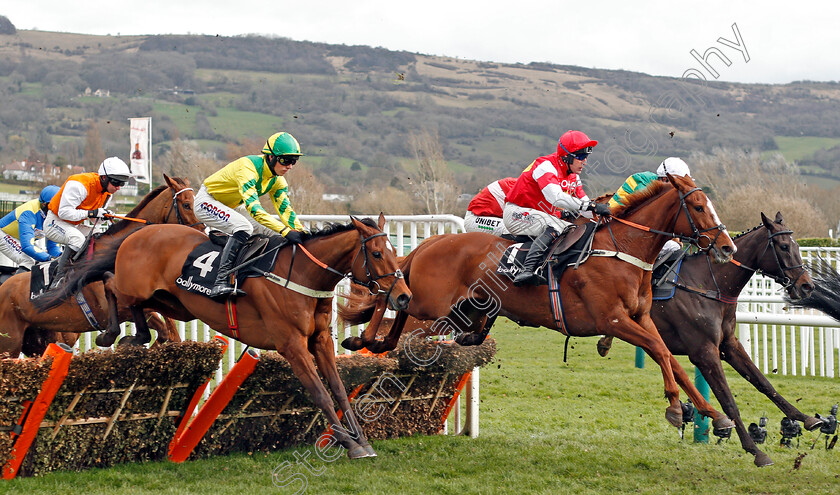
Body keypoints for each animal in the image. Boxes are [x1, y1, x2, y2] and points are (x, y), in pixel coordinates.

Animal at [0, 176, 198, 358]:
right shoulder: (115, 306)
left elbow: (168, 333)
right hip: (12, 342)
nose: (199, 235)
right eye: (187, 205)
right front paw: (116, 340)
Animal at [596, 211, 820, 466]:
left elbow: (763, 382)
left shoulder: (729, 344)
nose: (807, 286)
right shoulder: (704, 352)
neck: (709, 285)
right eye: (783, 246)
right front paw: (755, 450)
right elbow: (728, 402)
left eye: (797, 245)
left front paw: (805, 418)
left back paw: (605, 341)